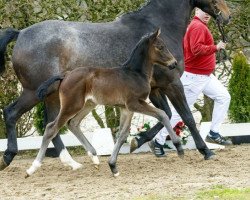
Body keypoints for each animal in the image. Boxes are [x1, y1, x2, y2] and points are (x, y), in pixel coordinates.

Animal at [26, 28, 183, 177]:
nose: (173, 63)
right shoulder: (134, 103)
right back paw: (32, 168)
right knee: (51, 128)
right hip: (71, 106)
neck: (135, 73)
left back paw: (94, 157)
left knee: (73, 123)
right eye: (160, 47)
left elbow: (122, 135)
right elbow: (162, 114)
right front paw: (179, 147)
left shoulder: (126, 109)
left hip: (88, 105)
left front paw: (113, 166)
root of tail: (65, 75)